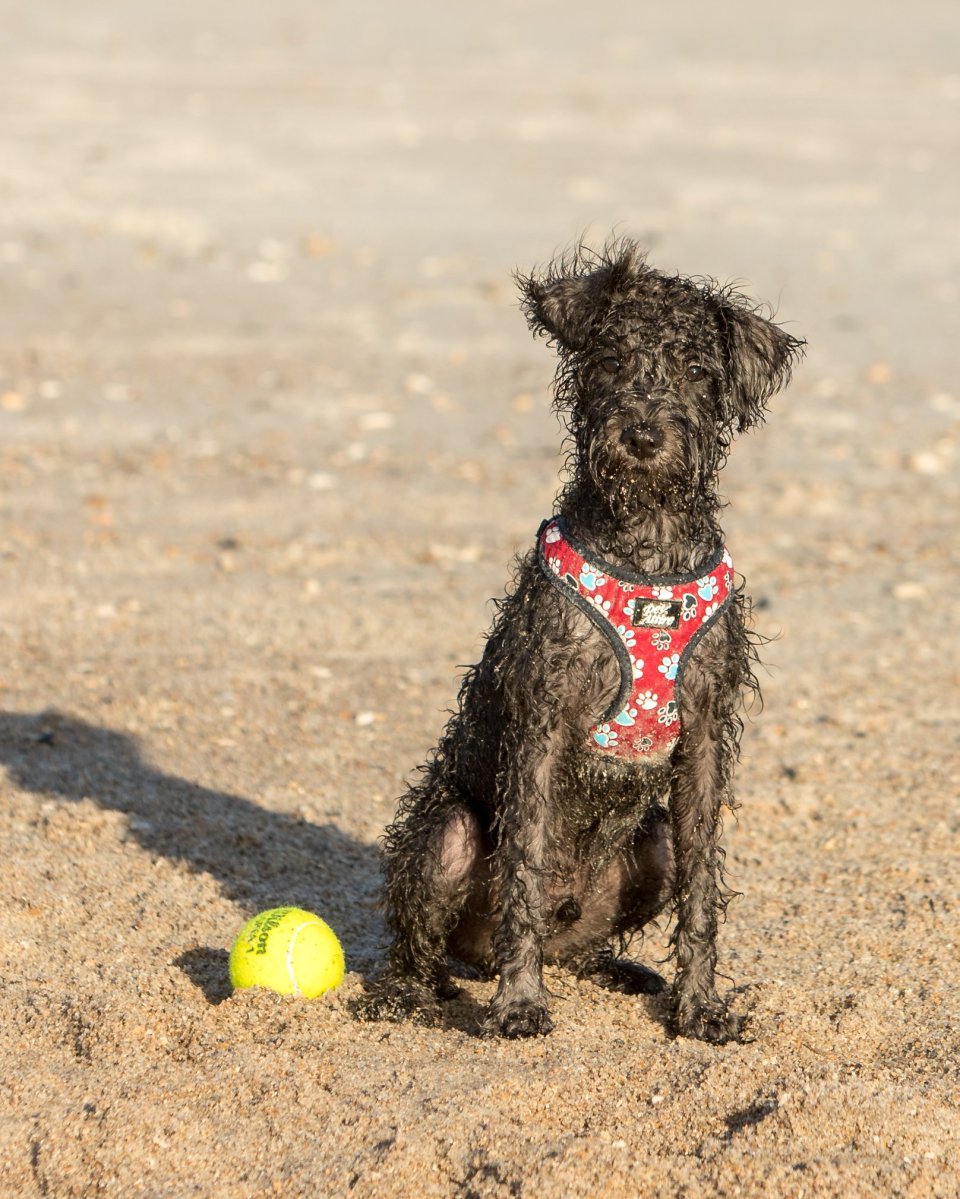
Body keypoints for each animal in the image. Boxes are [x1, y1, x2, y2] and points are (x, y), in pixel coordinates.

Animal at [360, 237, 803, 1040]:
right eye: (614, 358)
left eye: (698, 371)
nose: (643, 433)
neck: (647, 546)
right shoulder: (541, 719)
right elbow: (524, 871)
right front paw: (519, 1004)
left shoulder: (705, 729)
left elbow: (703, 888)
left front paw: (699, 1006)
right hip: (447, 837)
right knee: (422, 946)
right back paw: (411, 993)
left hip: (651, 843)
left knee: (588, 939)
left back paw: (620, 969)